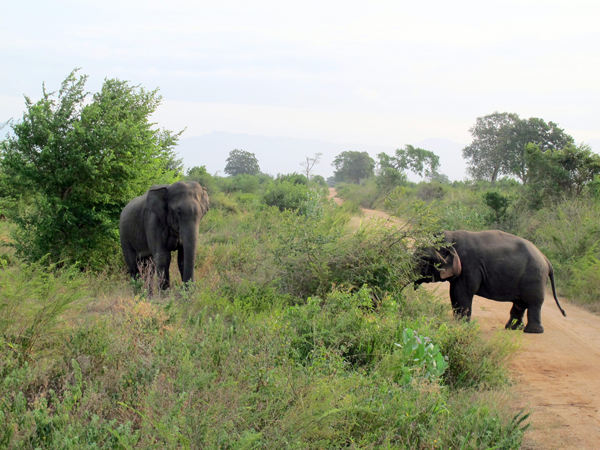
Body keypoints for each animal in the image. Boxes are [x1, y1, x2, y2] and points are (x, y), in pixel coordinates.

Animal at [414, 230, 564, 332]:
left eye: (423, 259)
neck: (451, 237)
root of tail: (546, 260)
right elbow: (454, 293)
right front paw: (458, 323)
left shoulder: (470, 267)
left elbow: (462, 293)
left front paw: (461, 326)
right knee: (520, 304)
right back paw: (512, 328)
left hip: (535, 279)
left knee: (533, 303)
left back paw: (532, 331)